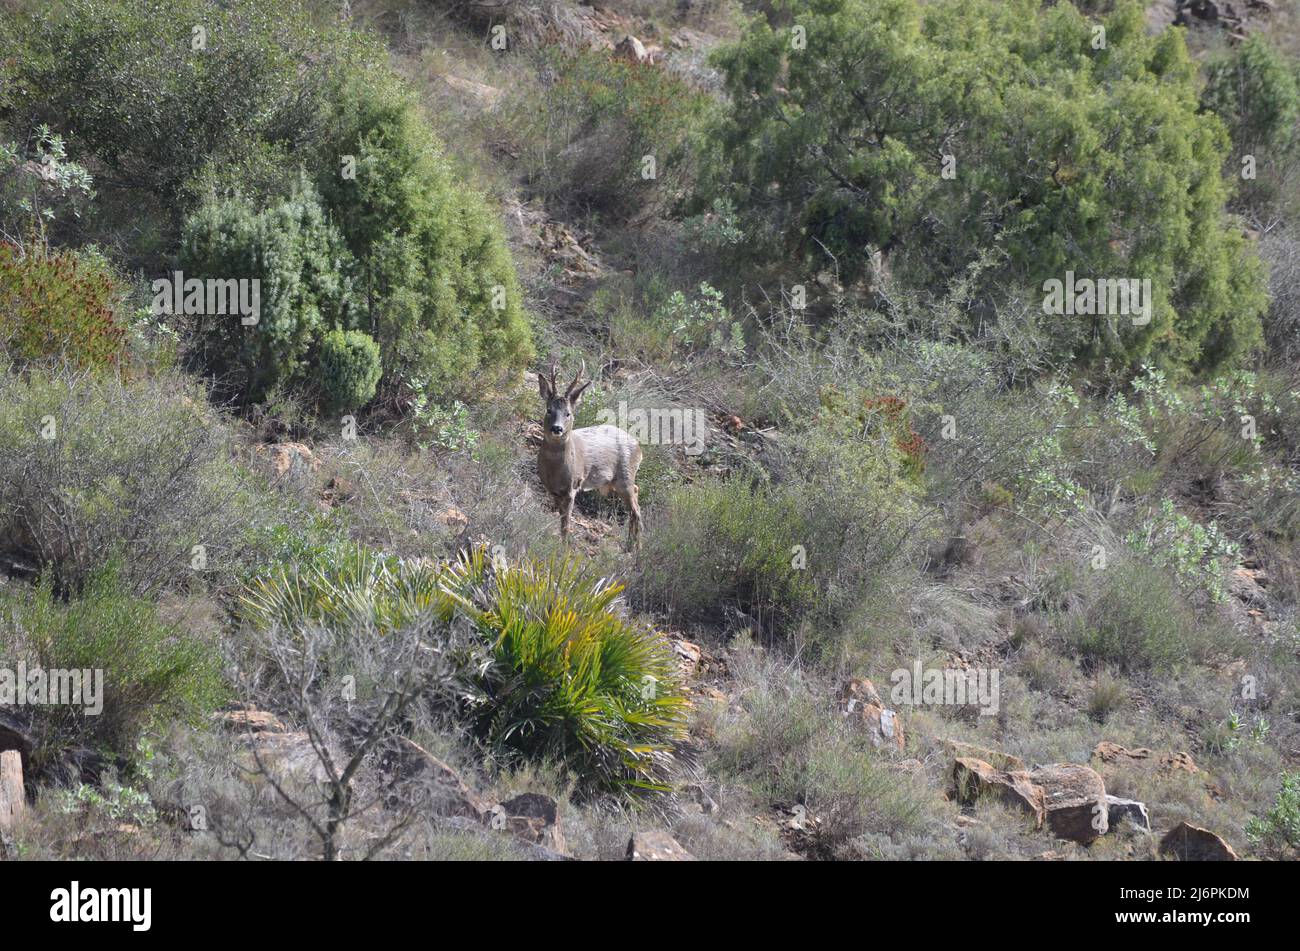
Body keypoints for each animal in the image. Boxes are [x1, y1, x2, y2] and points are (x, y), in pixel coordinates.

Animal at [535, 361, 642, 545]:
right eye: (549, 410)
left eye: (568, 413)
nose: (557, 428)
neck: (554, 470)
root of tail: (639, 447)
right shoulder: (552, 490)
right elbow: (561, 521)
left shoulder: (572, 486)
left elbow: (566, 525)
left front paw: (563, 548)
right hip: (615, 483)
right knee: (635, 498)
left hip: (626, 476)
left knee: (636, 509)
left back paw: (635, 548)